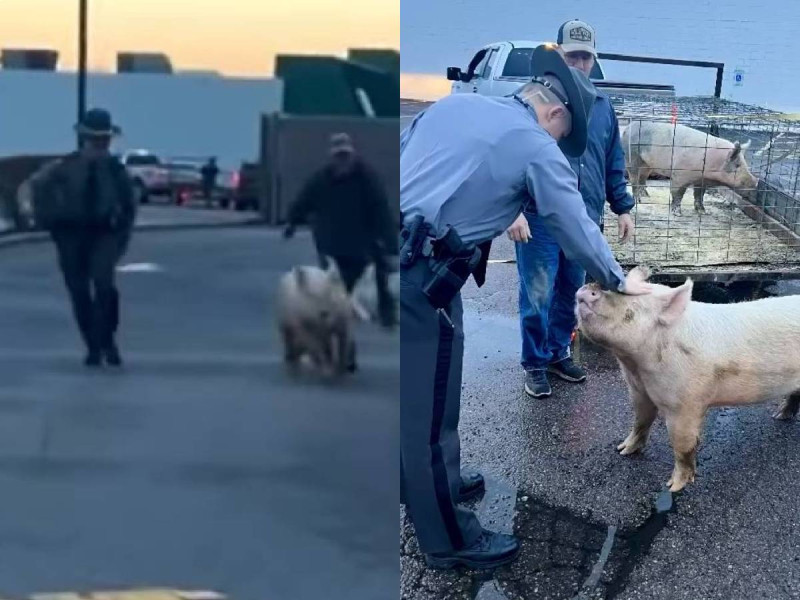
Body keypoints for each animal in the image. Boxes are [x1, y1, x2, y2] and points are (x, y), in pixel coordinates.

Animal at [580, 268, 800, 492]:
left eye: (633, 307)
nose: (590, 287)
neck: (636, 367)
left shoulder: (685, 403)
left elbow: (683, 445)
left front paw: (673, 487)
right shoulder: (638, 390)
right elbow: (640, 421)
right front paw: (623, 450)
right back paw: (779, 416)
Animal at [620, 120, 760, 216]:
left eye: (745, 163)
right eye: (737, 165)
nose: (756, 182)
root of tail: (628, 127)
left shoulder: (701, 181)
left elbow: (699, 195)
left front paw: (703, 212)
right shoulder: (680, 175)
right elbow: (677, 193)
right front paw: (677, 213)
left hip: (648, 164)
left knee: (642, 178)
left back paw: (646, 196)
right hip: (632, 158)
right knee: (633, 179)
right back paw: (638, 200)